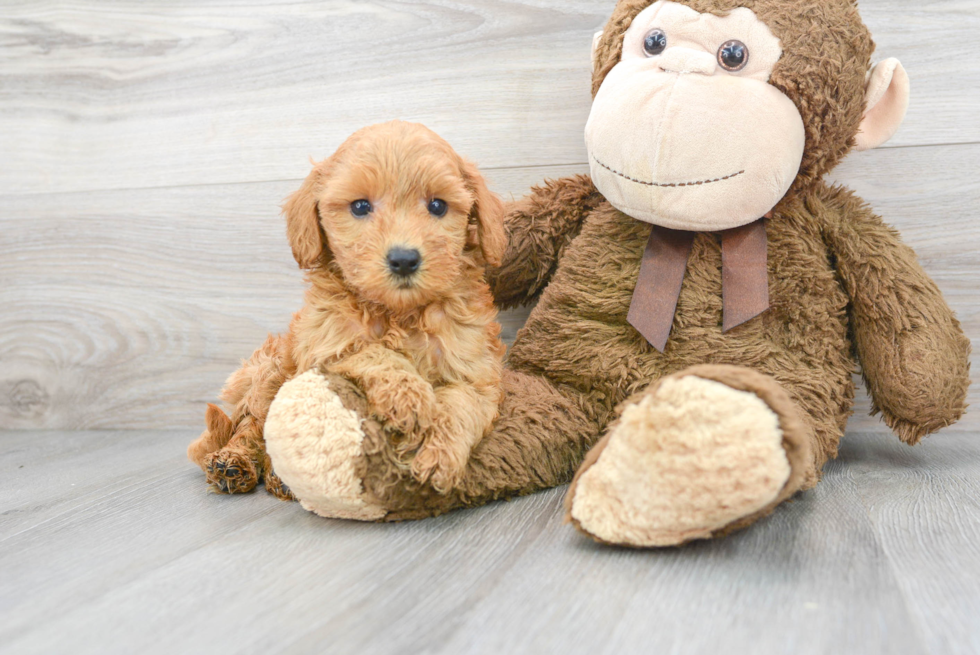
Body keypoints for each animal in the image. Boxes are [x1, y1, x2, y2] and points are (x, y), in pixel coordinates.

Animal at [188, 119, 506, 498]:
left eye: (438, 206)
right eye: (360, 207)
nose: (404, 259)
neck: (398, 313)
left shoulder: (474, 370)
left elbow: (461, 407)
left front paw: (439, 458)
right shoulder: (326, 346)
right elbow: (372, 352)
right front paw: (408, 396)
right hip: (270, 372)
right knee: (251, 424)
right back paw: (236, 464)